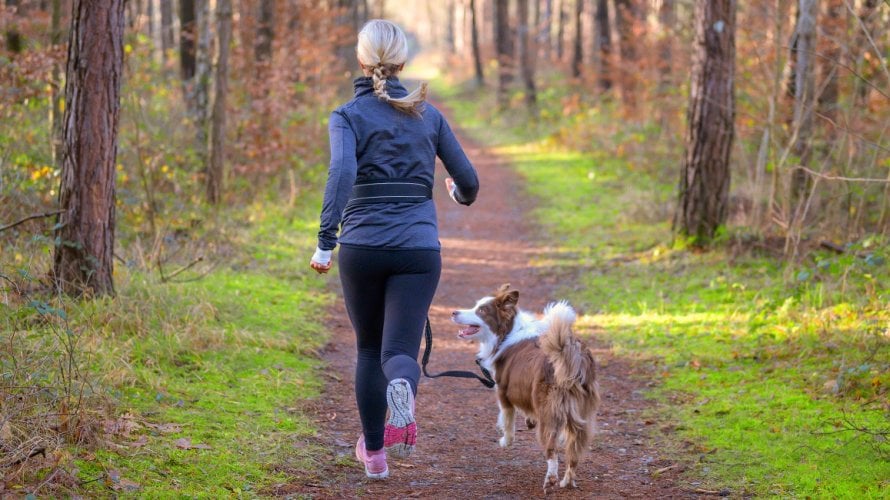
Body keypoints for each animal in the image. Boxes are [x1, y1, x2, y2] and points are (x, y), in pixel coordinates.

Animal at [450, 286, 596, 488]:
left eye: (482, 310)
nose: (454, 312)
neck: (507, 332)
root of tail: (571, 356)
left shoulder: (502, 392)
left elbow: (507, 421)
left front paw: (505, 441)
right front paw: (529, 420)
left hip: (549, 413)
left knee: (552, 450)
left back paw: (551, 478)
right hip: (582, 416)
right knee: (573, 454)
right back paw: (566, 481)